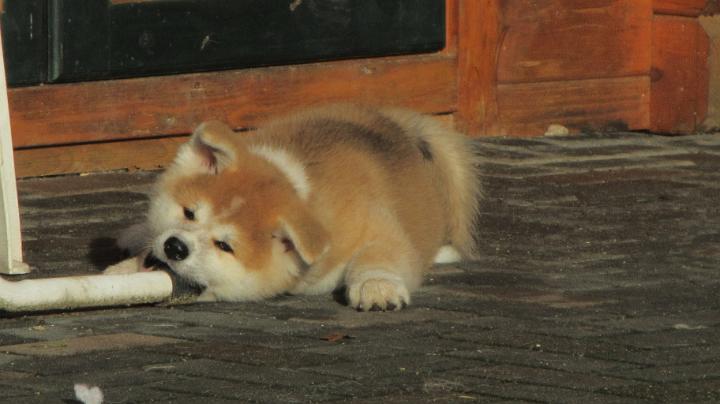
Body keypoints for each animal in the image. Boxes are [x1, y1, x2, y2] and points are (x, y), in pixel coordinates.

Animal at [106, 104, 481, 311]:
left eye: (224, 245)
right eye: (190, 213)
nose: (175, 247)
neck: (300, 187)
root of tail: (399, 125)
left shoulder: (377, 226)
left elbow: (381, 255)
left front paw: (377, 286)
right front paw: (123, 269)